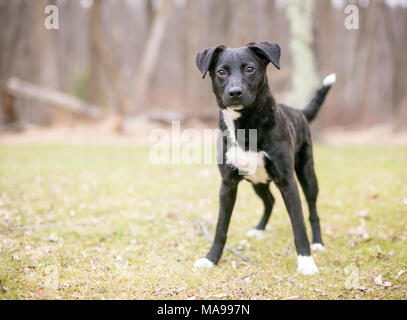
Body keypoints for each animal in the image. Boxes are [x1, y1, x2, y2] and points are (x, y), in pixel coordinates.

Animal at [196, 42, 336, 276]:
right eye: (221, 72)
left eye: (250, 69)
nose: (235, 92)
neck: (246, 126)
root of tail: (298, 111)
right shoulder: (227, 184)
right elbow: (221, 227)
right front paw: (211, 259)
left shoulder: (287, 182)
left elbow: (298, 224)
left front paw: (306, 261)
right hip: (257, 182)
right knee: (269, 200)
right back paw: (259, 229)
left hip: (307, 174)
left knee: (312, 208)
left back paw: (318, 243)